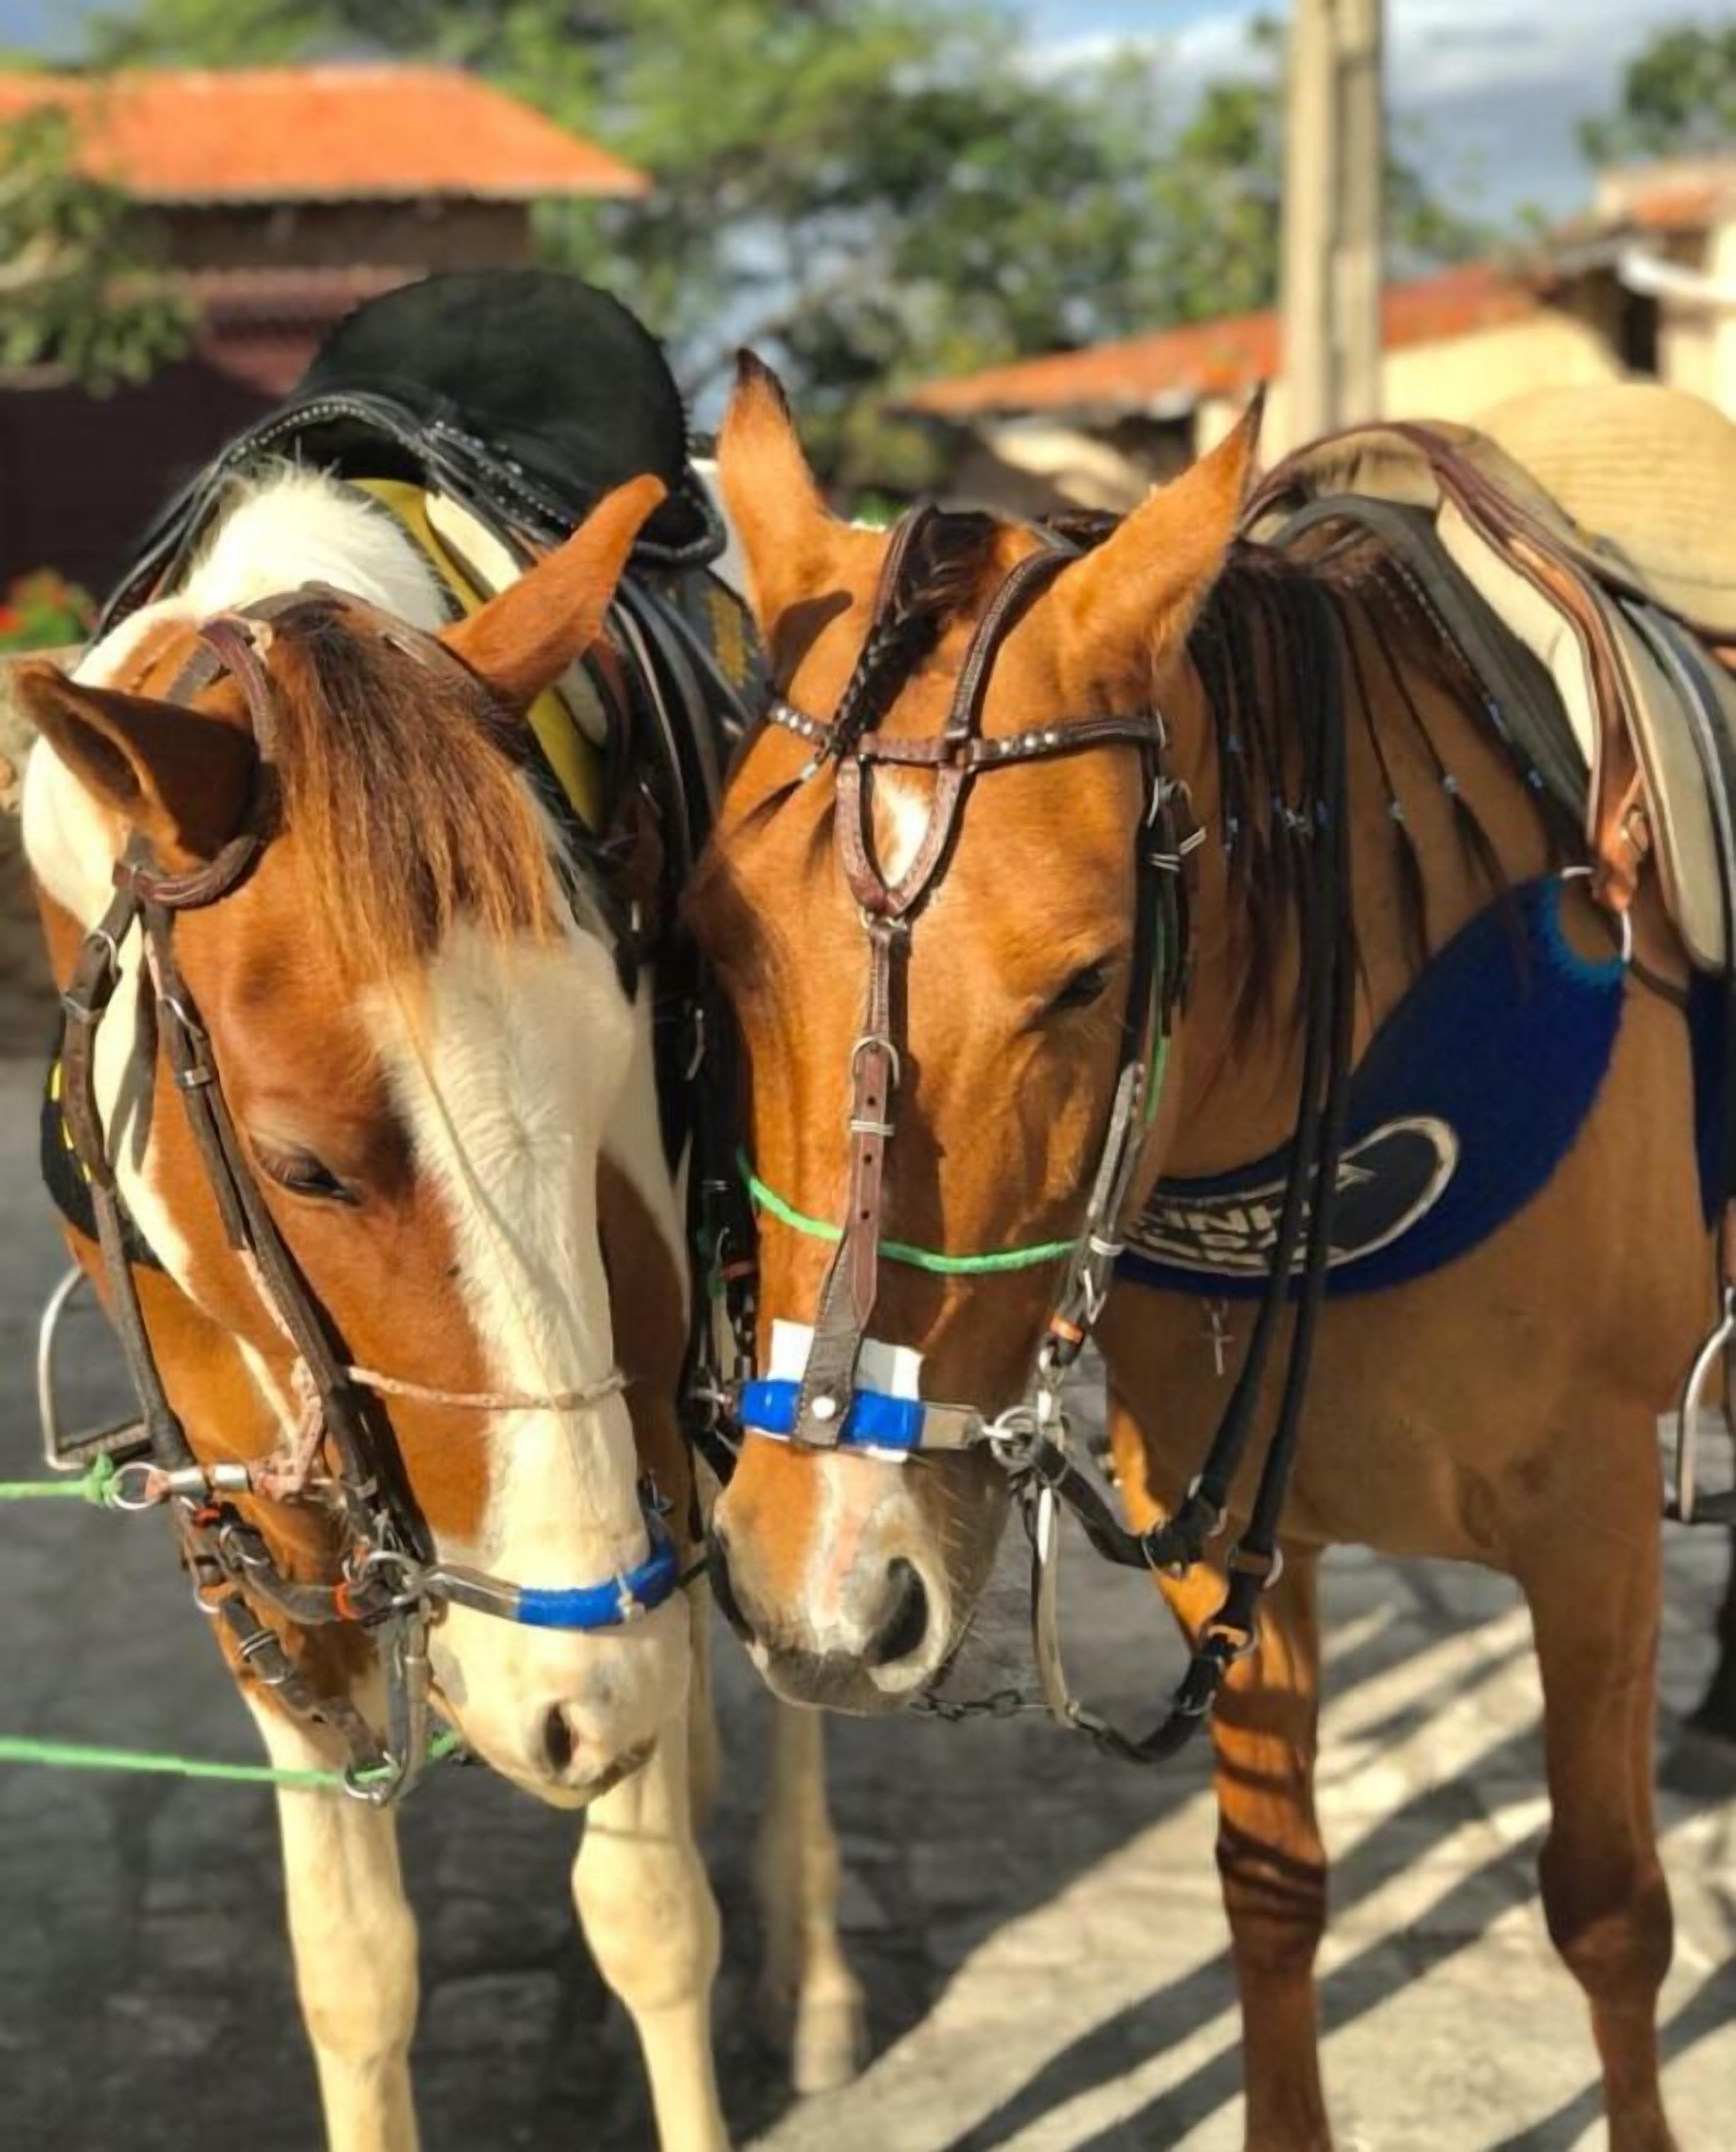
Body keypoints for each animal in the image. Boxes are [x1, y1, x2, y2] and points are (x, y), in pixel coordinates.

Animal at [8, 459, 860, 2150]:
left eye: (609, 1068)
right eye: (302, 1165)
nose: (578, 1695)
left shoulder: (640, 1448)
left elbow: (647, 1915)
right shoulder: (259, 1557)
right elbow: (353, 1970)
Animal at [691, 357, 1713, 2151]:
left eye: (1089, 977)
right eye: (717, 941)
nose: (823, 1589)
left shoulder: (1599, 1531)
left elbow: (1607, 1909)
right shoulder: (1226, 1523)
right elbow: (1271, 1884)